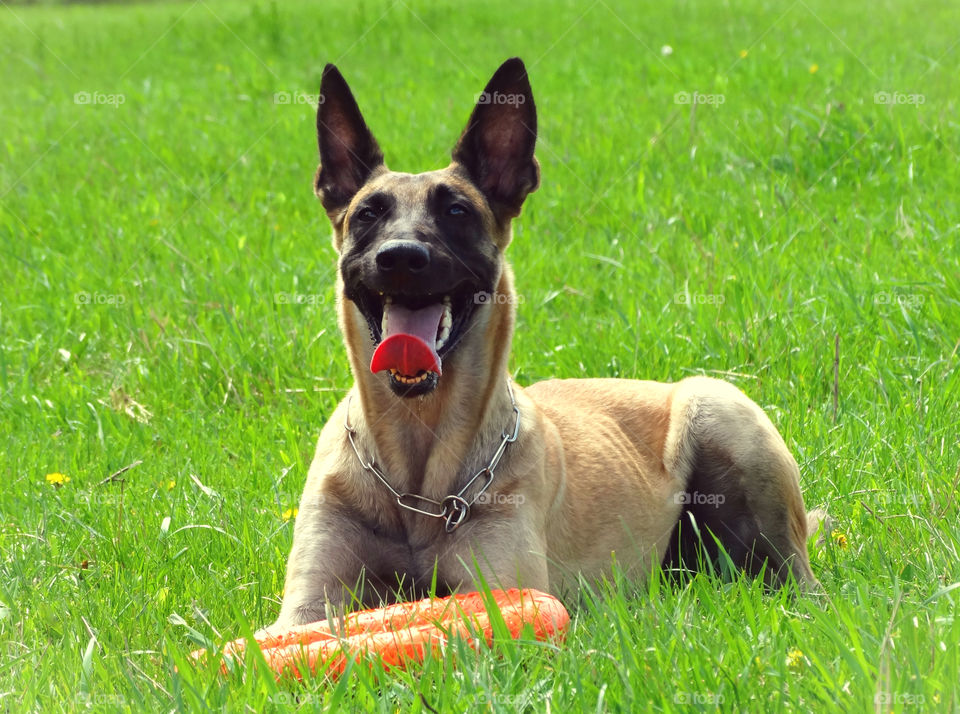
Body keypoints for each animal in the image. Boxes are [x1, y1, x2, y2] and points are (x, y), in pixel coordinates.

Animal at [268, 59, 816, 628]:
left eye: (457, 212)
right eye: (368, 214)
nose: (401, 257)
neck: (416, 478)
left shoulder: (503, 591)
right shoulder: (308, 605)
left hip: (720, 413)